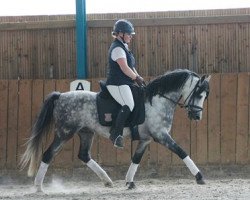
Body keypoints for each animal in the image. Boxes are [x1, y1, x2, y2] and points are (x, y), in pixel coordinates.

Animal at [20, 69, 210, 192]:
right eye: (199, 94)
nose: (197, 116)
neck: (157, 101)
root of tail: (60, 96)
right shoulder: (161, 135)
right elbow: (181, 151)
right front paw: (199, 176)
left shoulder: (146, 139)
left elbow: (136, 159)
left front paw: (129, 182)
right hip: (65, 132)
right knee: (48, 155)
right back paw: (38, 187)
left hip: (86, 132)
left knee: (84, 155)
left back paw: (107, 181)